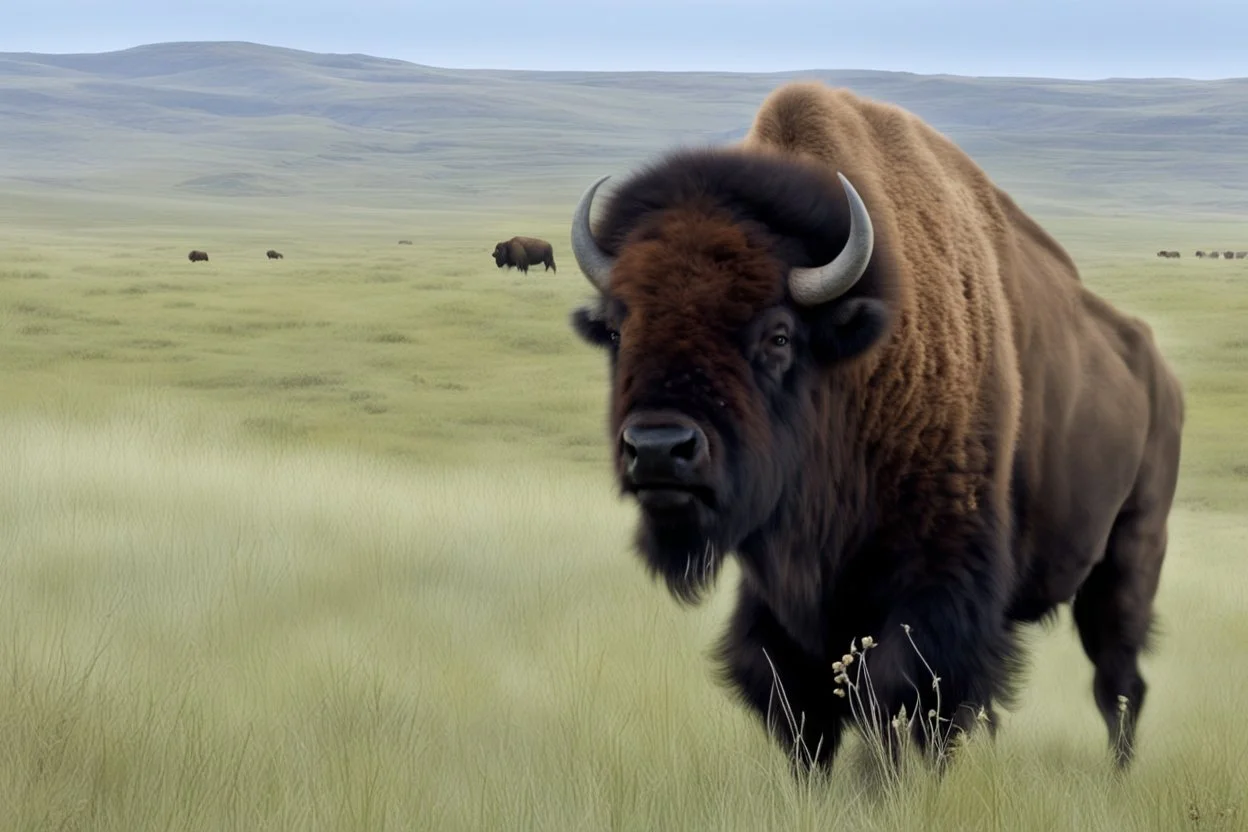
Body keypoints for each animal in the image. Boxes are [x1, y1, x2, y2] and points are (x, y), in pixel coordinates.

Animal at [566, 81, 1178, 778]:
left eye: (779, 335)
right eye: (618, 330)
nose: (658, 449)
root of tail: (1156, 367)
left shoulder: (939, 578)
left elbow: (901, 694)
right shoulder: (782, 592)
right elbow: (794, 699)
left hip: (1131, 551)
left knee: (1119, 683)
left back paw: (1118, 778)